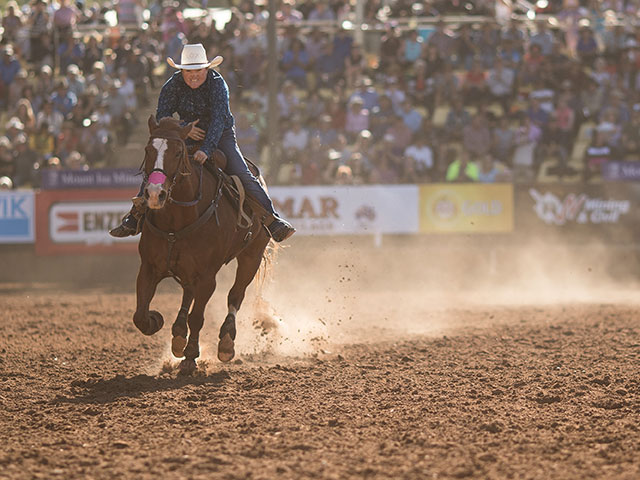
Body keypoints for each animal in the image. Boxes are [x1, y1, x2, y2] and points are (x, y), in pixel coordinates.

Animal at [134, 116, 272, 376]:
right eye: (147, 150)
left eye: (178, 152)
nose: (155, 194)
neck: (176, 221)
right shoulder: (148, 268)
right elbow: (140, 315)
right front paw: (157, 320)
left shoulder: (208, 277)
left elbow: (197, 317)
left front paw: (190, 358)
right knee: (188, 293)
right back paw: (178, 335)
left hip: (252, 256)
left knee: (235, 295)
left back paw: (226, 343)